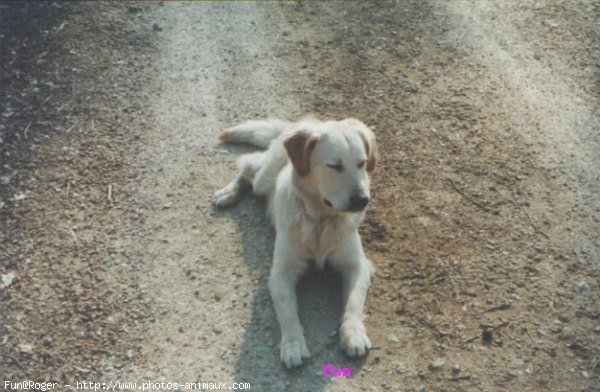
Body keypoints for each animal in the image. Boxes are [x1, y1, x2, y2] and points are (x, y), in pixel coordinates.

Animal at [214, 116, 376, 368]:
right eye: (334, 166)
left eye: (362, 163)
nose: (362, 200)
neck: (321, 219)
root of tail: (304, 123)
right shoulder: (281, 272)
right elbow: (288, 311)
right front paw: (293, 345)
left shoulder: (357, 266)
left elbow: (353, 303)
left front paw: (354, 333)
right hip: (263, 181)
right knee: (250, 165)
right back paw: (229, 192)